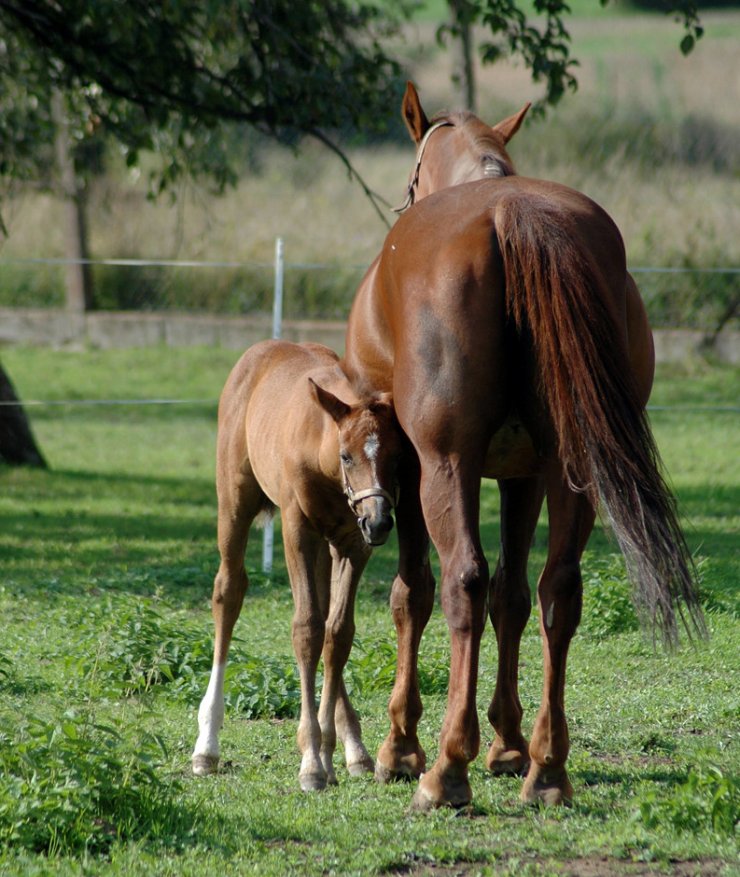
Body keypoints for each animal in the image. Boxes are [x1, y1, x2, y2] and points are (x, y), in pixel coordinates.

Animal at [191, 338, 398, 792]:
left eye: (400, 457)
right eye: (346, 455)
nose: (379, 521)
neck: (319, 446)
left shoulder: (352, 543)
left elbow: (337, 633)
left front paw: (334, 749)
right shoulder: (297, 529)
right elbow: (306, 630)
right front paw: (312, 761)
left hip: (327, 547)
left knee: (326, 619)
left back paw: (352, 750)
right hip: (235, 501)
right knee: (229, 591)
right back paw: (206, 746)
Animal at [344, 82, 704, 808]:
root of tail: (512, 213)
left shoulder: (405, 462)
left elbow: (413, 591)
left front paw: (401, 746)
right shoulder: (524, 474)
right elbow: (511, 595)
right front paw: (507, 744)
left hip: (446, 466)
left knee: (462, 580)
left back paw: (446, 770)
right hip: (576, 472)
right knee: (556, 591)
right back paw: (546, 768)